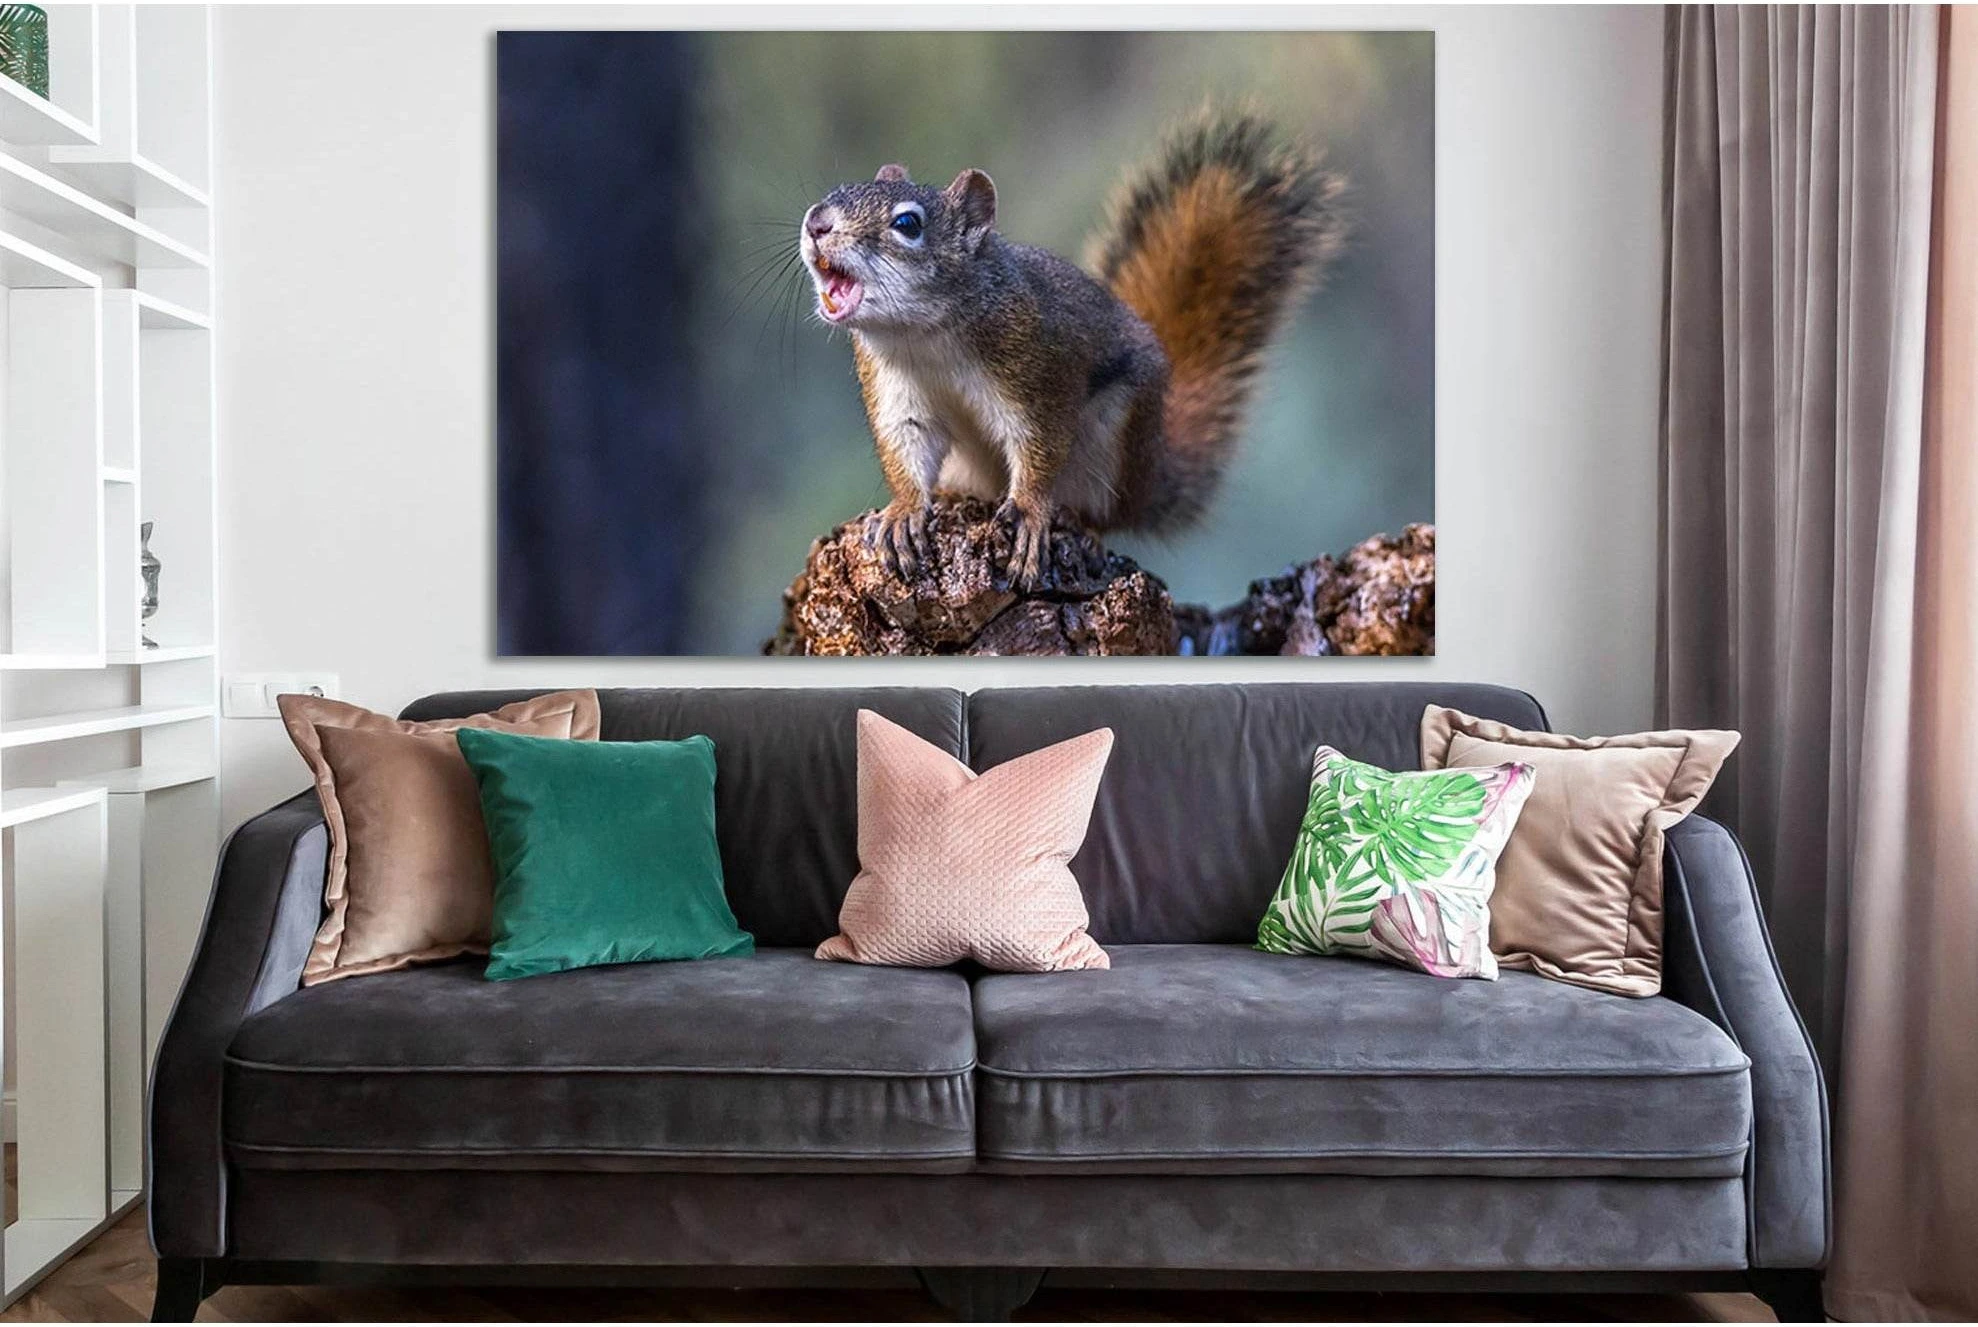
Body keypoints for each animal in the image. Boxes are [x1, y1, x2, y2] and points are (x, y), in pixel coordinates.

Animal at [799, 110, 1345, 588]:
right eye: (836, 195)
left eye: (908, 225)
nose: (816, 223)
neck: (925, 334)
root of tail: (1150, 475)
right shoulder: (895, 387)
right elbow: (905, 445)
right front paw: (905, 511)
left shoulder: (1040, 370)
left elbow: (1040, 444)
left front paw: (1028, 511)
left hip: (1114, 440)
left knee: (1106, 514)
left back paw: (1084, 530)